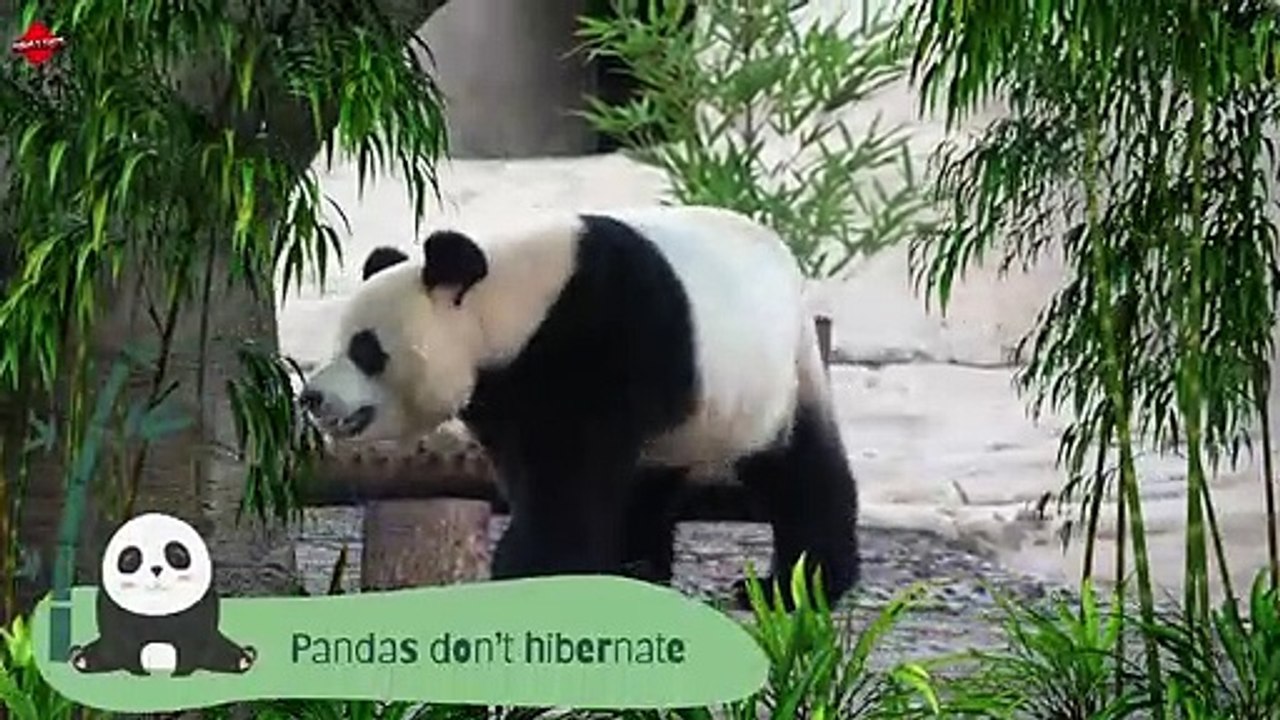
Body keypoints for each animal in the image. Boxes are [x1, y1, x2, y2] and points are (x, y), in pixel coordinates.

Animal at [68, 512, 257, 676]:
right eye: (131, 558)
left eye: (176, 555)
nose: (156, 569)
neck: (158, 604)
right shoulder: (115, 609)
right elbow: (124, 640)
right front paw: (139, 673)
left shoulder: (200, 608)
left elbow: (193, 638)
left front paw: (181, 673)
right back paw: (82, 660)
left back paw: (243, 660)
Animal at [299, 205, 861, 608]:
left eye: (366, 349)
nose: (312, 397)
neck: (508, 306)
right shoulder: (505, 390)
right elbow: (538, 470)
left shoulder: (599, 336)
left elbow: (567, 472)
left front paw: (530, 566)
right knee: (647, 483)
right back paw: (638, 567)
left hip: (771, 377)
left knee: (800, 473)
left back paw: (795, 586)